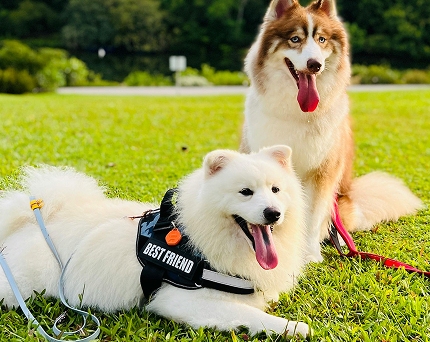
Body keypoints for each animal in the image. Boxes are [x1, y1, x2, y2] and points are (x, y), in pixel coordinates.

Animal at [0, 146, 310, 336]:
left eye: (276, 190)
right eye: (245, 192)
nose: (273, 213)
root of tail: (32, 221)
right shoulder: (179, 301)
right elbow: (250, 315)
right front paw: (295, 327)